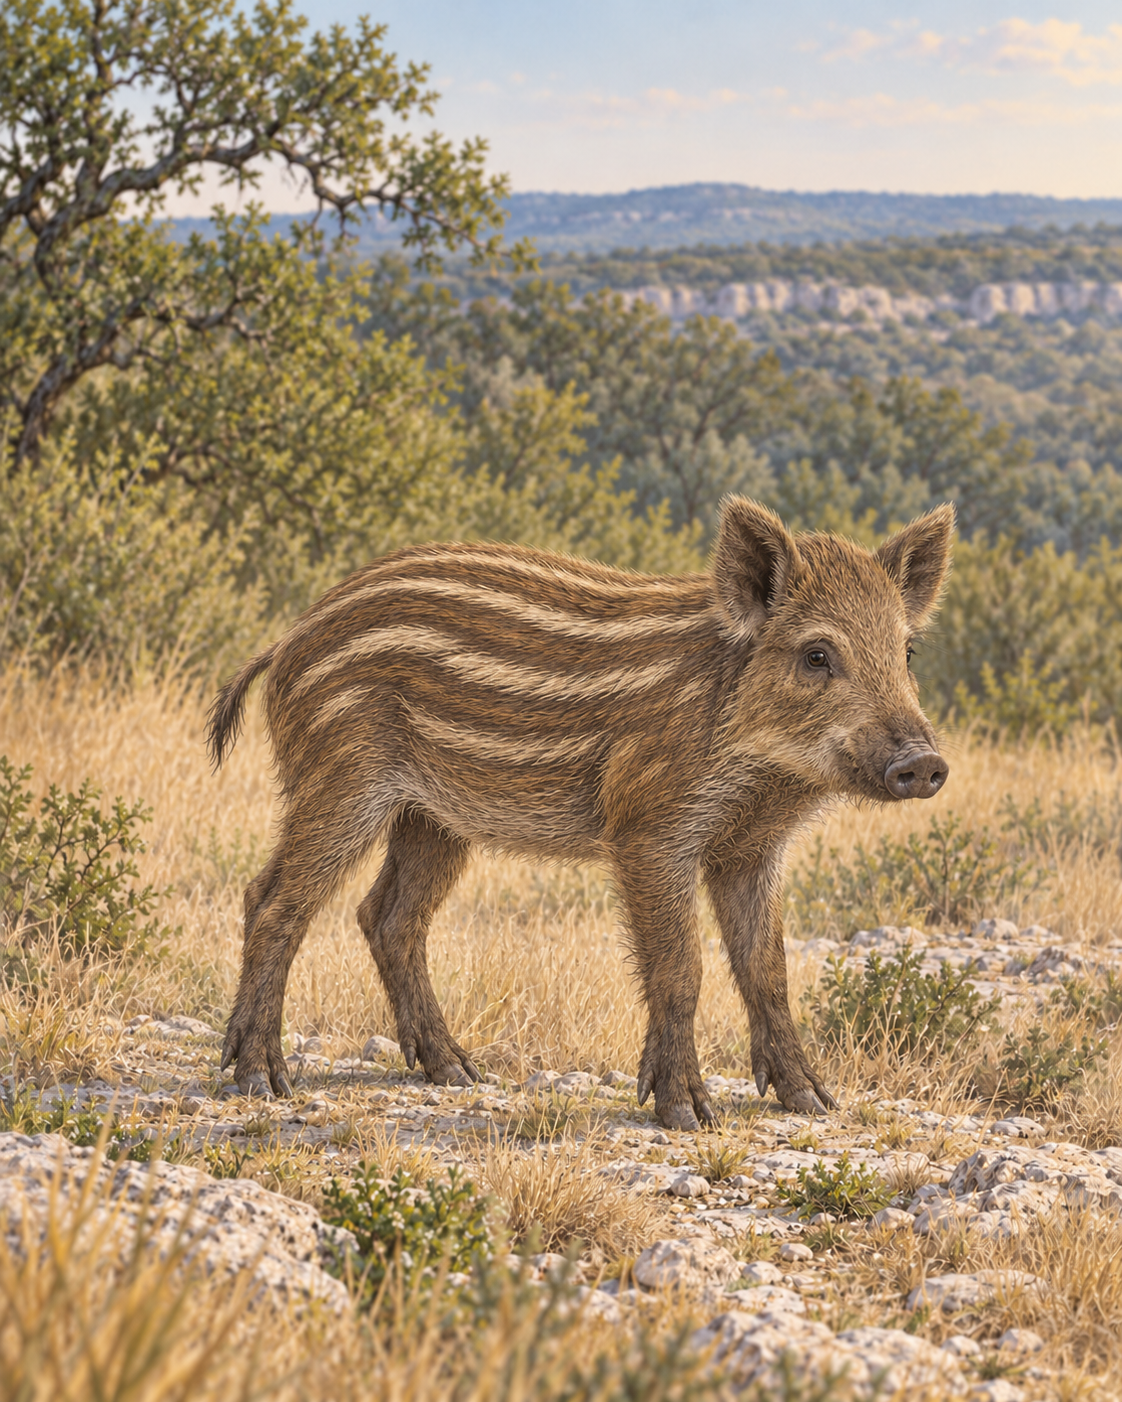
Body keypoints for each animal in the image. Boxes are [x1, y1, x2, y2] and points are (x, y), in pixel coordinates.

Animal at [208, 497, 953, 1130]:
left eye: (906, 651)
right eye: (817, 655)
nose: (923, 763)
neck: (760, 766)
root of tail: (290, 637)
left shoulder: (750, 849)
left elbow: (767, 968)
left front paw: (813, 1101)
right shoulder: (650, 831)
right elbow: (681, 967)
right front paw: (686, 1113)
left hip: (432, 816)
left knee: (388, 916)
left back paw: (458, 1073)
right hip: (341, 780)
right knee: (273, 899)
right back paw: (260, 1079)